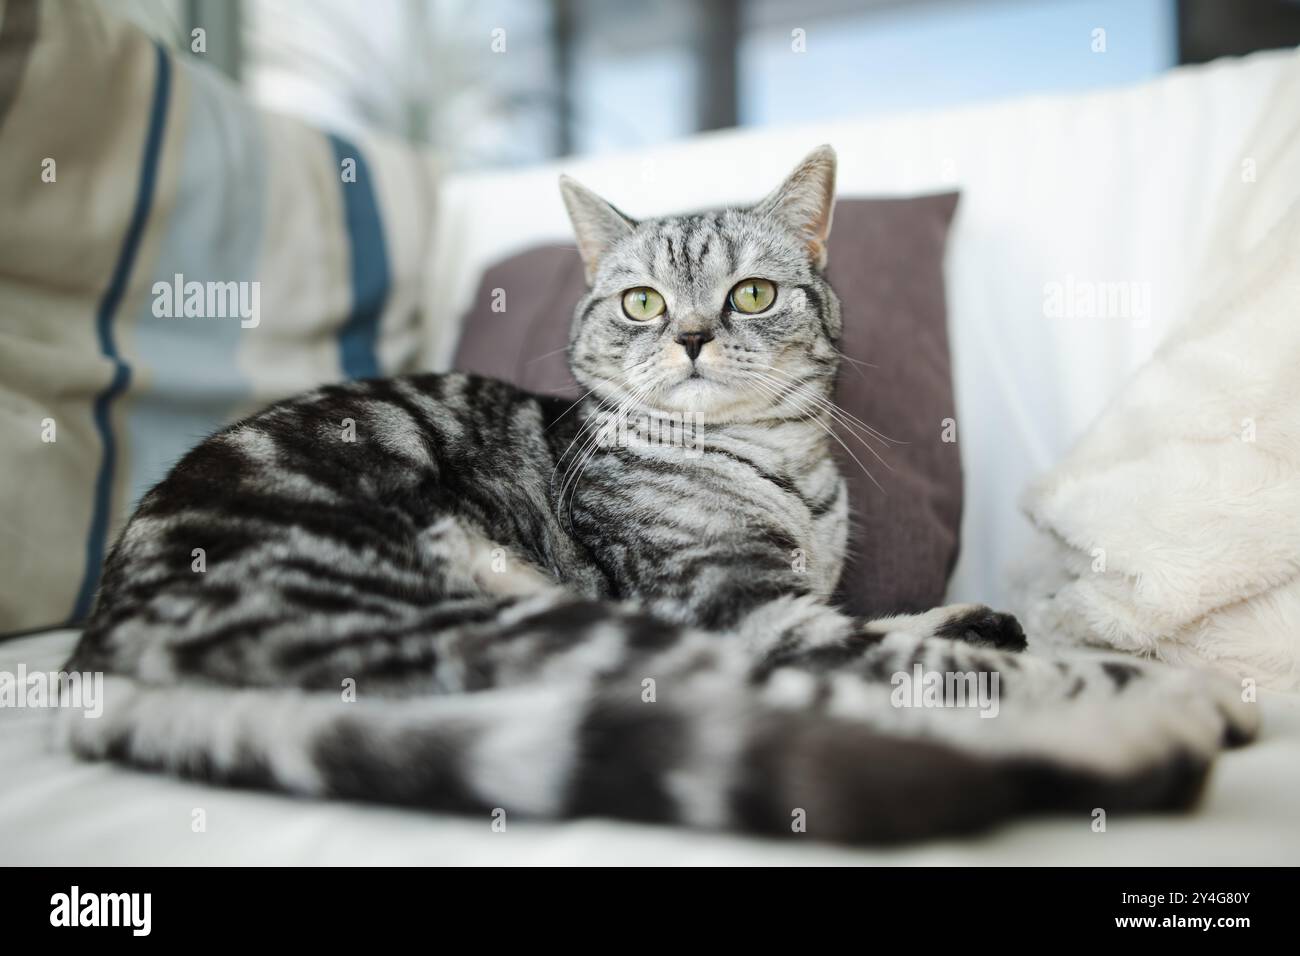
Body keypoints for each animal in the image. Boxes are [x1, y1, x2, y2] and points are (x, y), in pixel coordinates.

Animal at [61, 145, 1258, 842]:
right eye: (640, 301)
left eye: (753, 293)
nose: (687, 335)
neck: (788, 477)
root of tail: (95, 659)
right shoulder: (738, 602)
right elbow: (902, 656)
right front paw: (1106, 669)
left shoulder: (803, 594)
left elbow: (882, 620)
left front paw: (974, 610)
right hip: (545, 618)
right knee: (860, 705)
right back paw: (1151, 723)